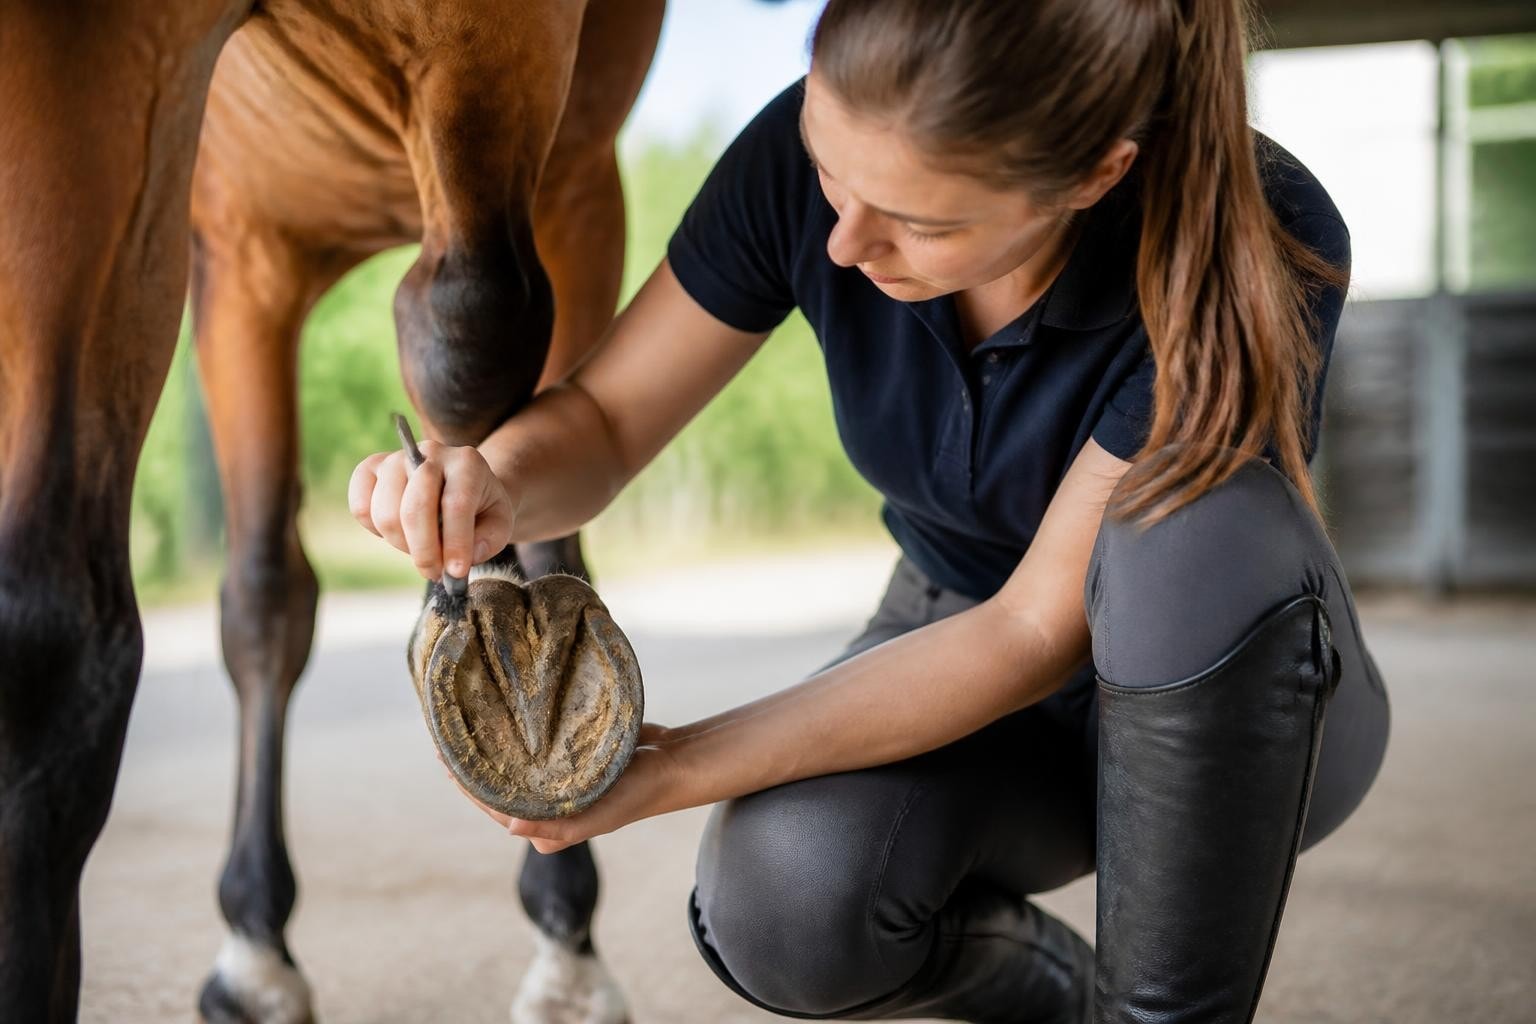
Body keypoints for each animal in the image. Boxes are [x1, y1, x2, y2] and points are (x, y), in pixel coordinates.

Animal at [0, 0, 677, 1020]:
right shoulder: (213, 212)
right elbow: (81, 640)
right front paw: (253, 951)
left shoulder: (504, 58)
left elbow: (471, 325)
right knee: (269, 595)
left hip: (577, 188)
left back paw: (566, 938)